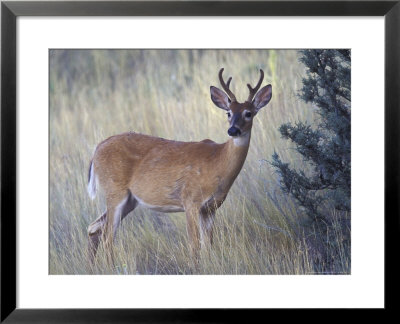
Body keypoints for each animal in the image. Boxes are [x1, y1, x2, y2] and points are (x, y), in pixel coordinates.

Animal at [86, 67, 272, 266]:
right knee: (107, 236)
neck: (217, 163)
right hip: (115, 191)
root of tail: (96, 150)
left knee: (94, 228)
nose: (233, 130)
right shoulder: (190, 200)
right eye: (228, 113)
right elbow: (195, 247)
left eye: (249, 113)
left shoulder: (211, 208)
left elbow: (208, 246)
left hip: (130, 200)